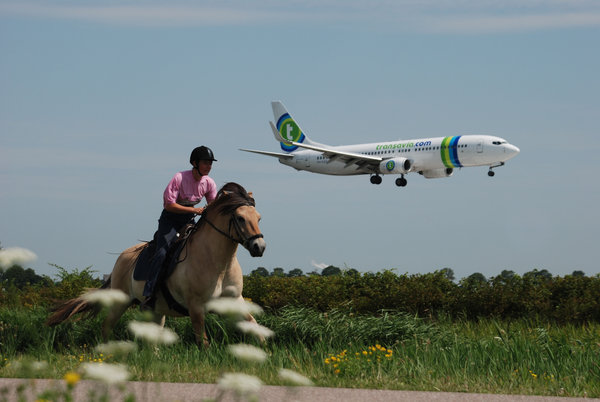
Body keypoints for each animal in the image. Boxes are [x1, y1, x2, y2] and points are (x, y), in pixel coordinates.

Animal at [45, 182, 264, 348]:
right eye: (240, 218)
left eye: (259, 218)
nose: (259, 247)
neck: (219, 264)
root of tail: (121, 258)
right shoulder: (196, 306)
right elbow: (202, 341)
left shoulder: (234, 302)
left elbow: (256, 329)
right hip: (121, 301)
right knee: (106, 326)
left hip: (156, 310)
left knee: (153, 335)